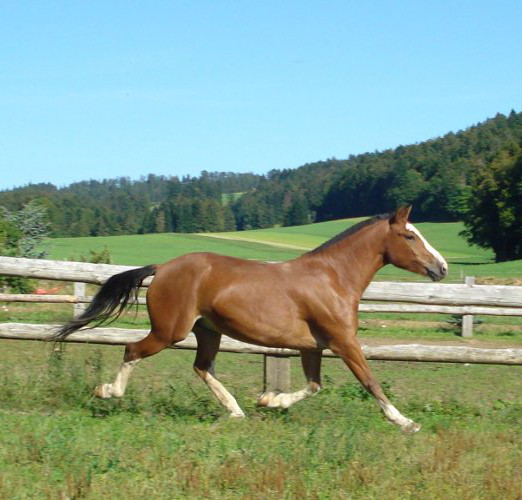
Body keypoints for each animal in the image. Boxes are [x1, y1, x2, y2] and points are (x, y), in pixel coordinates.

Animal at [52, 207, 444, 434]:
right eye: (410, 235)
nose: (441, 267)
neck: (333, 278)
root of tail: (163, 268)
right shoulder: (344, 342)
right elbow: (371, 382)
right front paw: (406, 423)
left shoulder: (312, 347)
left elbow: (314, 386)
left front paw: (269, 400)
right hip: (169, 331)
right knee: (132, 350)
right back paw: (107, 391)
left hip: (207, 331)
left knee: (202, 367)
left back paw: (236, 411)